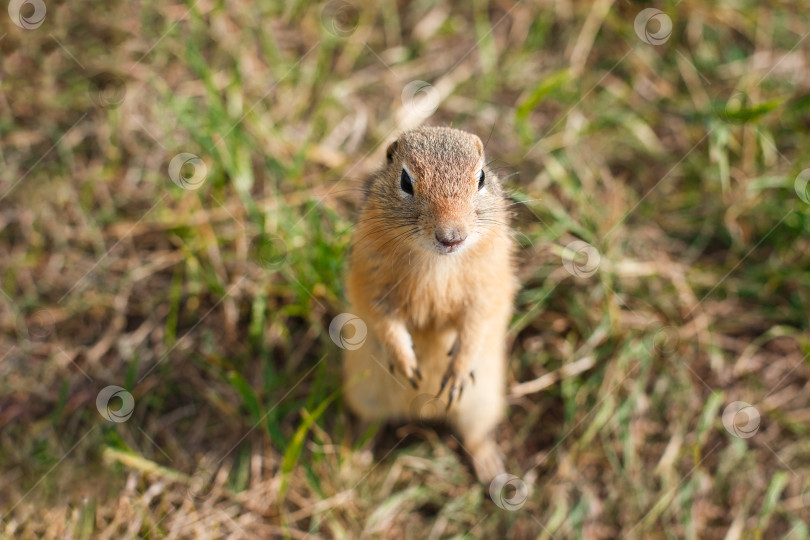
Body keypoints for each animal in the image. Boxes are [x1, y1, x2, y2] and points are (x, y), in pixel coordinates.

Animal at [338, 127, 516, 486]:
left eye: (481, 177)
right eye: (406, 181)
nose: (452, 237)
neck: (437, 261)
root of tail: (421, 410)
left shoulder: (491, 282)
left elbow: (479, 318)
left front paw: (460, 365)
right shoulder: (370, 280)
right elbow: (381, 317)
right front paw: (406, 362)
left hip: (482, 403)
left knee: (475, 436)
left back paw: (490, 467)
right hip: (365, 393)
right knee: (370, 423)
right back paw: (357, 459)